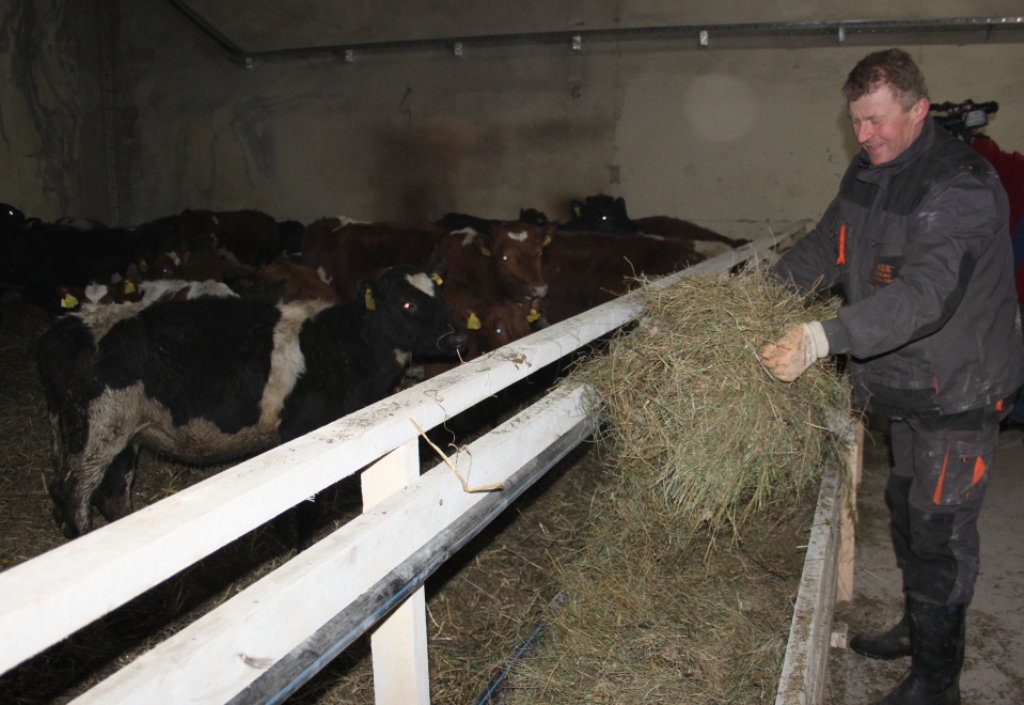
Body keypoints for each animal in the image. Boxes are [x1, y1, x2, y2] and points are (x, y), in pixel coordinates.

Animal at [38, 258, 466, 545]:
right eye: (408, 304)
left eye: (441, 296)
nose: (458, 338)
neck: (344, 344)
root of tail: (67, 325)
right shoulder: (301, 435)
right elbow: (305, 506)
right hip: (93, 431)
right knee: (72, 493)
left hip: (125, 435)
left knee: (112, 495)